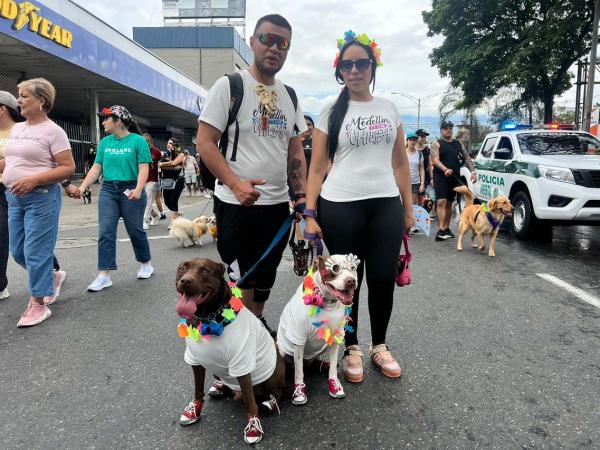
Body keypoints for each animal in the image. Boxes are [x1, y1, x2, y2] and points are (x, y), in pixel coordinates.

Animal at [175, 258, 284, 444]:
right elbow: (197, 389)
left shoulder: (241, 364)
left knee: (276, 394)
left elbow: (250, 402)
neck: (207, 318)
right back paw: (221, 387)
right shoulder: (194, 360)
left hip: (273, 373)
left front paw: (253, 427)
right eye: (182, 268)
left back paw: (269, 404)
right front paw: (194, 411)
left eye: (204, 270)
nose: (185, 281)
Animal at [278, 255, 358, 406]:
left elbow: (333, 367)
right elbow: (299, 372)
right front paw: (299, 392)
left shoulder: (336, 336)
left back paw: (322, 365)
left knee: (311, 363)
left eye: (353, 267)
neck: (327, 302)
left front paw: (335, 385)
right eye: (335, 268)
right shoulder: (299, 339)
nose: (351, 281)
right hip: (281, 350)